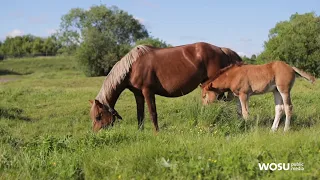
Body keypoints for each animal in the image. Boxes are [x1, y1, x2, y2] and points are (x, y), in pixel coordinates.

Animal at [89, 41, 241, 132]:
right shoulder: (138, 94)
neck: (133, 66)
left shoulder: (148, 92)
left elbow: (152, 113)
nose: (96, 134)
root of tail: (221, 49)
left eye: (98, 116)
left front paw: (157, 133)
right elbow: (140, 114)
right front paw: (139, 132)